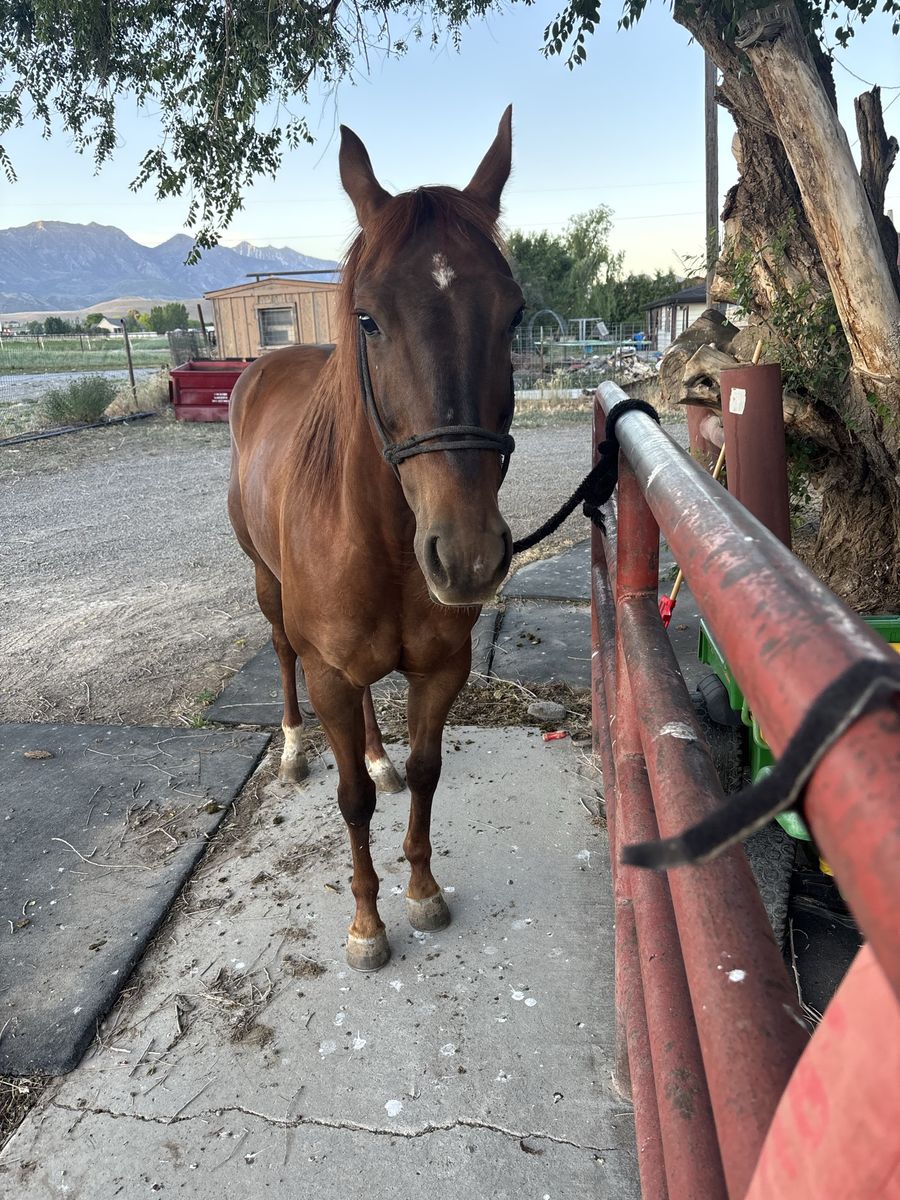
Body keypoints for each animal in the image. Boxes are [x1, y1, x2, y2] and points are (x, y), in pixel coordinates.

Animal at [227, 108, 524, 971]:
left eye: (515, 315)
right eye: (368, 318)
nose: (468, 556)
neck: (386, 539)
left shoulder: (440, 667)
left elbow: (426, 772)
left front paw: (421, 889)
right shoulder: (326, 668)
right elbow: (350, 802)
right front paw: (367, 923)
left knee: (368, 716)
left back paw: (373, 752)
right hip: (269, 593)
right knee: (284, 657)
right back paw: (296, 747)